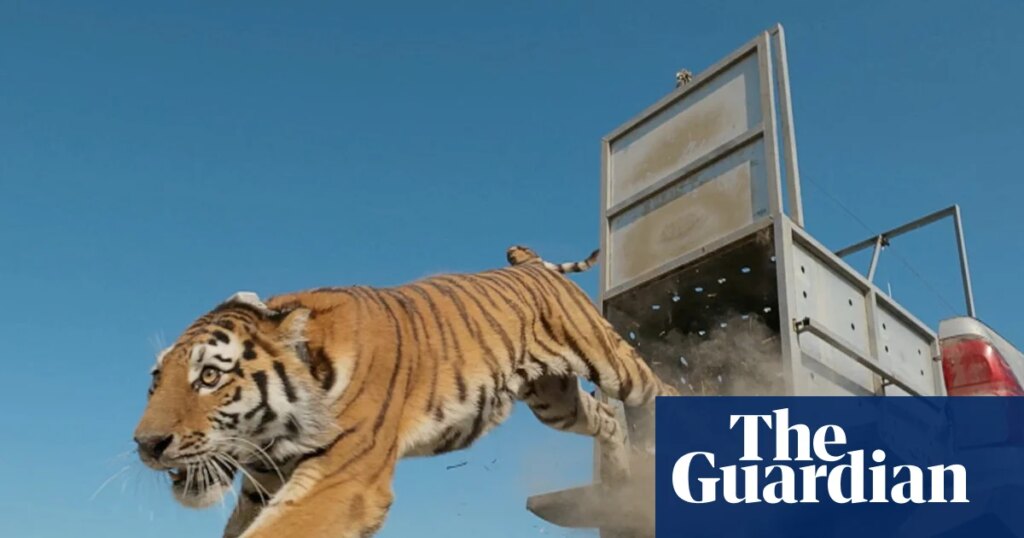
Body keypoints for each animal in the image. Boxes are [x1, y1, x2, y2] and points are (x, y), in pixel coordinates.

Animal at [133, 246, 678, 538]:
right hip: (555, 400)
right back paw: (620, 483)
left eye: (209, 377)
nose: (146, 445)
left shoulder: (344, 479)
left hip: (608, 359)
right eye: (156, 380)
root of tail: (530, 263)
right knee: (605, 420)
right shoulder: (261, 485)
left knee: (659, 389)